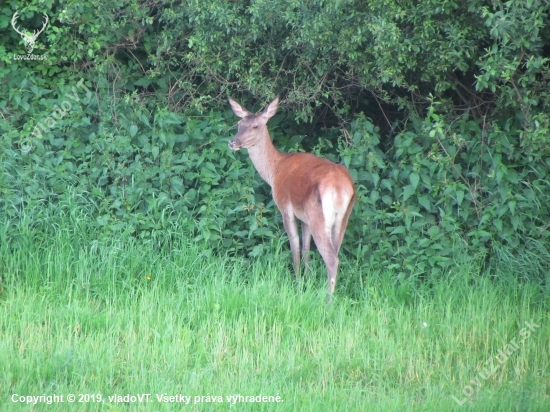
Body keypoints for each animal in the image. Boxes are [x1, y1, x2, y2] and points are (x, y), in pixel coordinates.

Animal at [229, 98, 358, 300]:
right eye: (239, 124)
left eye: (255, 126)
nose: (233, 142)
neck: (274, 170)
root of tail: (339, 188)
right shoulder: (304, 217)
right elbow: (305, 249)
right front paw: (308, 281)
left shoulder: (285, 207)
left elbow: (295, 247)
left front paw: (297, 285)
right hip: (342, 216)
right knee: (335, 252)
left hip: (319, 216)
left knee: (331, 258)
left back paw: (328, 300)